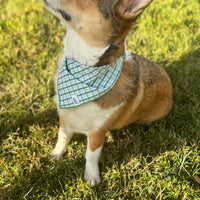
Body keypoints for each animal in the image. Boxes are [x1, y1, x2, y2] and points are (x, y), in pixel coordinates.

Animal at [43, 0, 173, 187]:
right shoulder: (64, 117)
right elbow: (62, 136)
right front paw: (57, 153)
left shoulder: (97, 133)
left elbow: (90, 155)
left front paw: (91, 177)